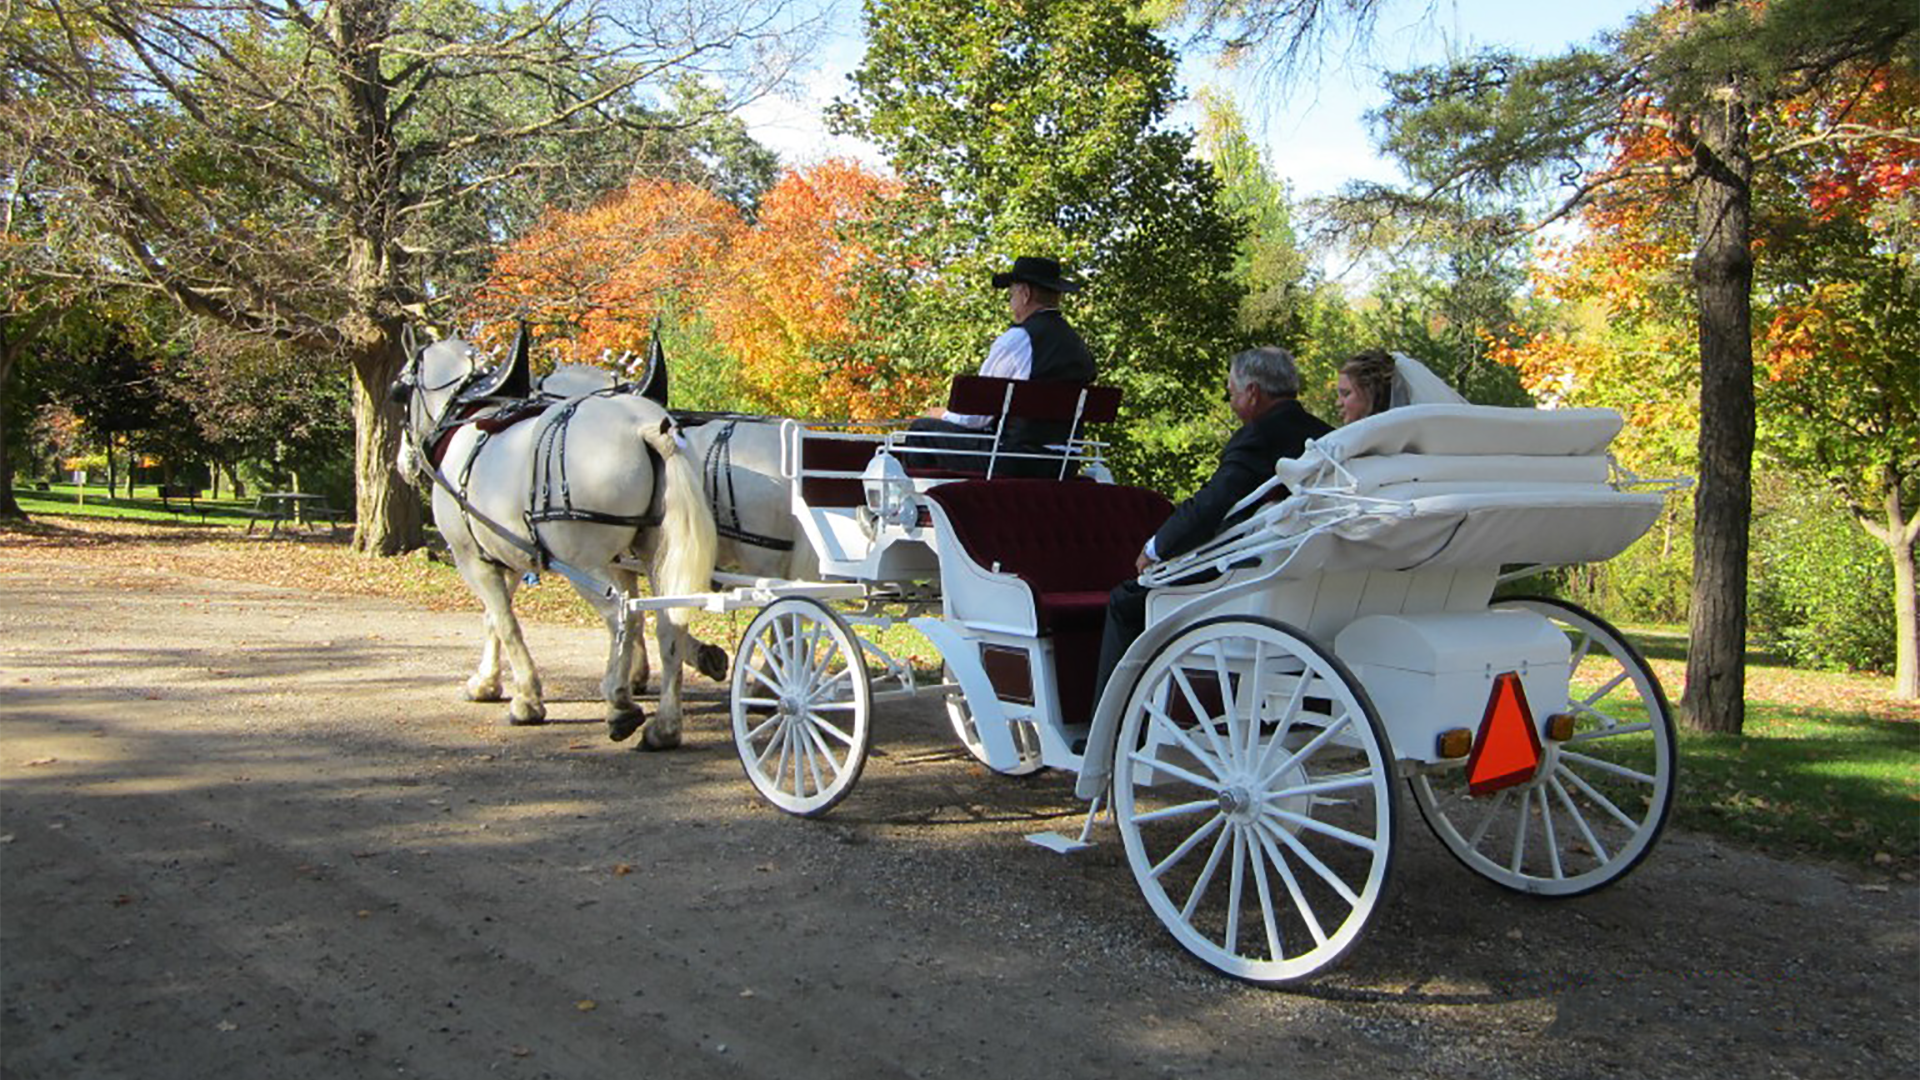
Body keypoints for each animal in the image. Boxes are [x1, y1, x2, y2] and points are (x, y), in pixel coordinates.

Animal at [395, 336, 721, 749]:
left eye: (398, 392)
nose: (403, 464)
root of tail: (647, 426)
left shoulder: (471, 558)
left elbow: (505, 623)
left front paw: (527, 700)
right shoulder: (508, 555)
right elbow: (493, 619)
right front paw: (486, 682)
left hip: (584, 562)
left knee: (623, 616)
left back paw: (619, 704)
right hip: (656, 552)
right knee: (668, 620)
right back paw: (664, 725)